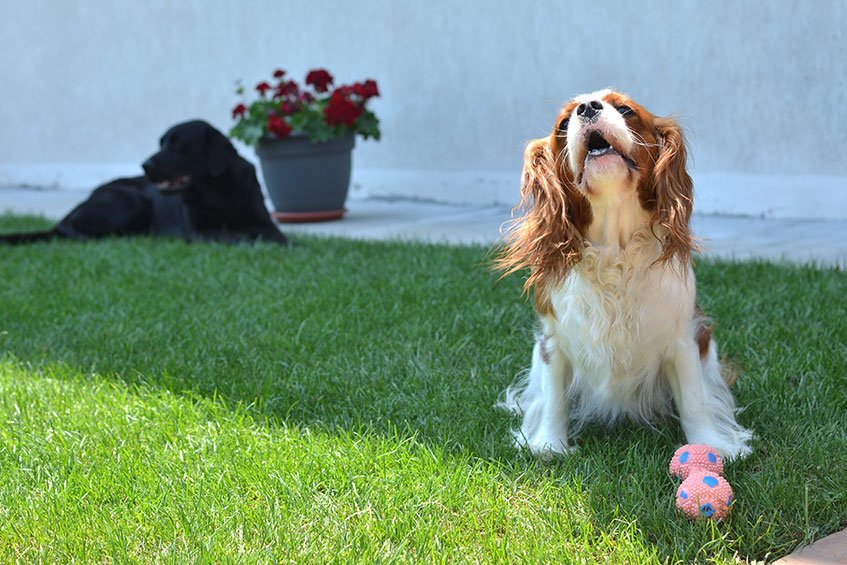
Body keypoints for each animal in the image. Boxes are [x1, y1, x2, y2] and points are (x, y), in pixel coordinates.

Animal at [0, 121, 288, 245]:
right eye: (161, 143)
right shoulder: (198, 232)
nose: (145, 165)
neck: (217, 190)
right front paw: (246, 239)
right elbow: (231, 236)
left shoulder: (266, 222)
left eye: (178, 144)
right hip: (129, 201)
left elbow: (276, 236)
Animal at [500, 88, 752, 458]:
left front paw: (711, 444)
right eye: (563, 124)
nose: (587, 108)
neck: (614, 245)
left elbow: (693, 398)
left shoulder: (683, 338)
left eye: (625, 110)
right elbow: (554, 395)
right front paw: (549, 444)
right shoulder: (553, 339)